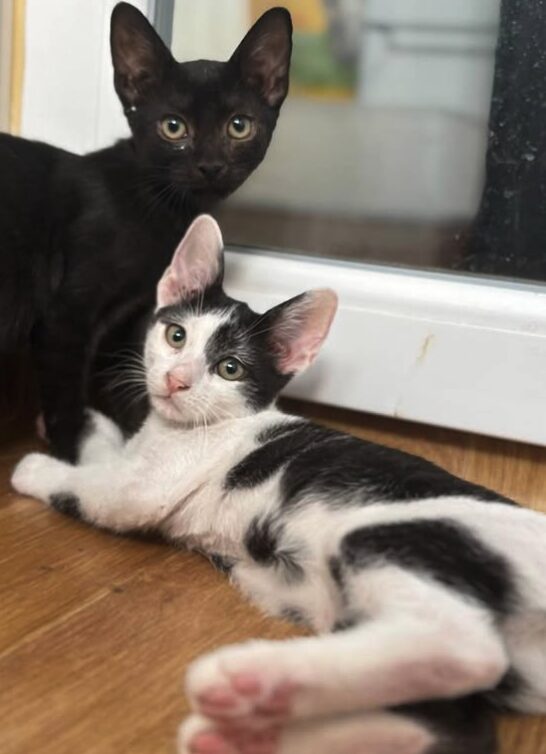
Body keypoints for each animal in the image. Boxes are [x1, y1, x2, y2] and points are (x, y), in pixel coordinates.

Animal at [0, 1, 292, 458]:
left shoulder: (120, 323)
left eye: (239, 126)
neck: (160, 208)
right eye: (173, 127)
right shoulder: (66, 319)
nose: (211, 165)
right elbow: (66, 400)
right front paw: (74, 457)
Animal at [12, 213, 544, 752]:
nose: (177, 380)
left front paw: (36, 467)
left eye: (230, 368)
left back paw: (245, 679)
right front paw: (82, 427)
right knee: (459, 725)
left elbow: (94, 486)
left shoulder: (139, 492)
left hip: (397, 535)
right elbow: (109, 453)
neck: (190, 427)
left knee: (463, 646)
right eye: (176, 336)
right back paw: (246, 728)